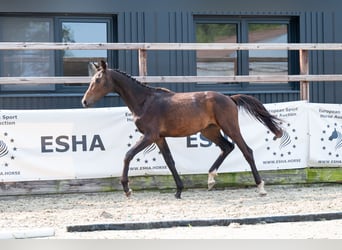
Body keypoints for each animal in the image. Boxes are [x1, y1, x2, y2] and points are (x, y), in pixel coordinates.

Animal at [81, 61, 282, 199]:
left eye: (97, 80)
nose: (84, 101)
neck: (144, 101)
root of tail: (230, 98)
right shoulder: (159, 138)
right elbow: (170, 161)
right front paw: (178, 190)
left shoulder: (149, 136)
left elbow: (128, 155)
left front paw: (127, 189)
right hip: (209, 131)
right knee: (227, 147)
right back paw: (211, 179)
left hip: (230, 127)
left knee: (246, 151)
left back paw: (261, 188)